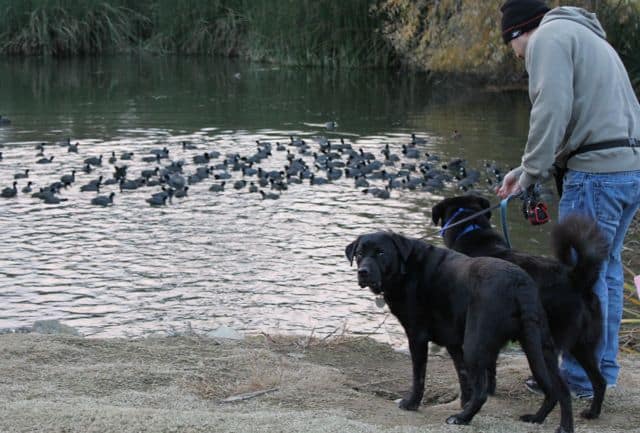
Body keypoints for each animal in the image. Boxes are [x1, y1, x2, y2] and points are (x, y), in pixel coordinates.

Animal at [348, 233, 572, 432]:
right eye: (359, 253)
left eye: (381, 252)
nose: (363, 271)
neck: (406, 268)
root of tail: (519, 283)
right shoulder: (454, 344)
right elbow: (464, 378)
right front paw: (464, 403)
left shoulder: (417, 336)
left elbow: (419, 377)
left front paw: (412, 403)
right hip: (541, 347)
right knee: (560, 390)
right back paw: (551, 423)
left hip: (475, 344)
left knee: (483, 393)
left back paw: (462, 419)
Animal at [432, 196, 608, 418]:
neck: (471, 229)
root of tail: (577, 279)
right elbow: (490, 366)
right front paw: (490, 390)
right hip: (582, 345)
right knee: (600, 381)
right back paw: (592, 413)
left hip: (548, 343)